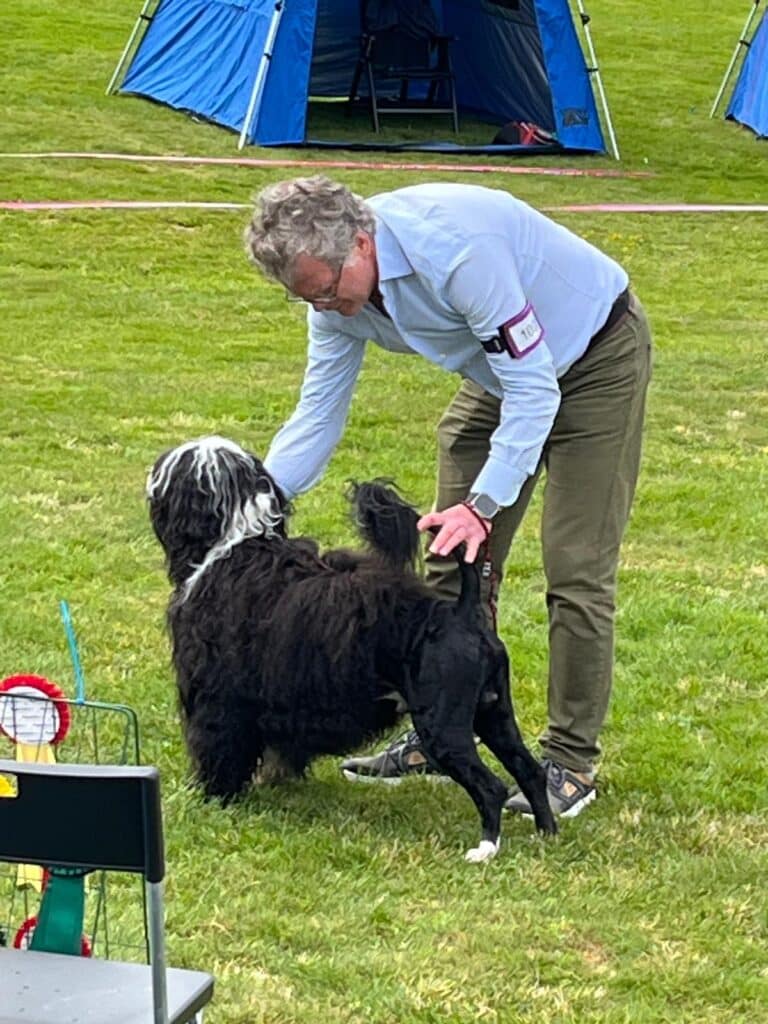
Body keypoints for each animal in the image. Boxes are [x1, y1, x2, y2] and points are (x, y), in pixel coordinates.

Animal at [147, 436, 557, 860]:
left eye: (177, 465)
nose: (151, 474)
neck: (234, 543)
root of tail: (459, 610)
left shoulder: (217, 698)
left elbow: (220, 749)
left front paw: (212, 797)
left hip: (444, 726)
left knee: (491, 787)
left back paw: (485, 849)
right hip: (493, 713)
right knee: (529, 770)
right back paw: (546, 834)